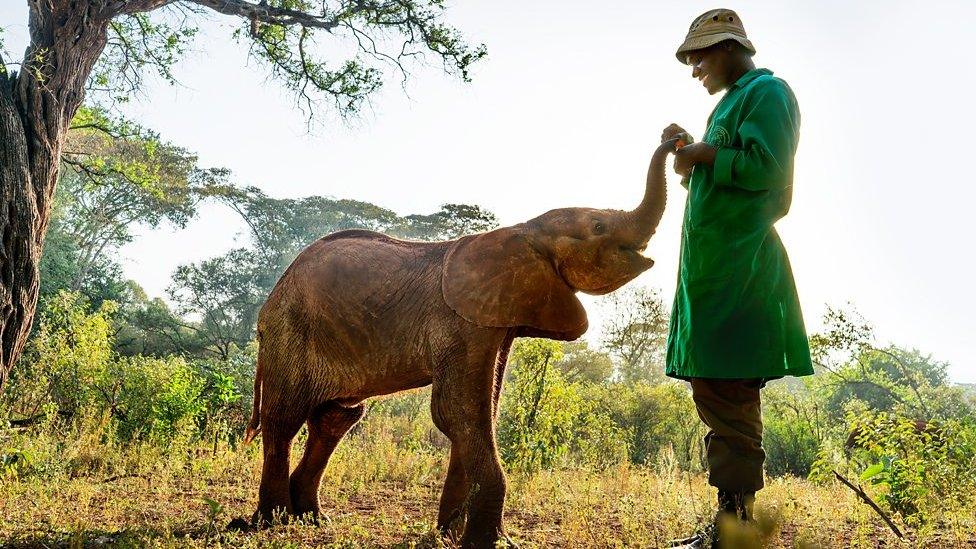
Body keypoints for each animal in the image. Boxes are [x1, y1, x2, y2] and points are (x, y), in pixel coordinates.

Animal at [244, 138, 680, 544]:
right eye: (598, 227)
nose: (675, 137)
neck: (524, 229)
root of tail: (268, 305)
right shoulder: (458, 323)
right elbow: (457, 412)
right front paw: (486, 541)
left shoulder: (496, 322)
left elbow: (480, 411)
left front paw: (450, 536)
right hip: (290, 331)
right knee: (284, 417)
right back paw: (272, 521)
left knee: (336, 417)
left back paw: (312, 518)